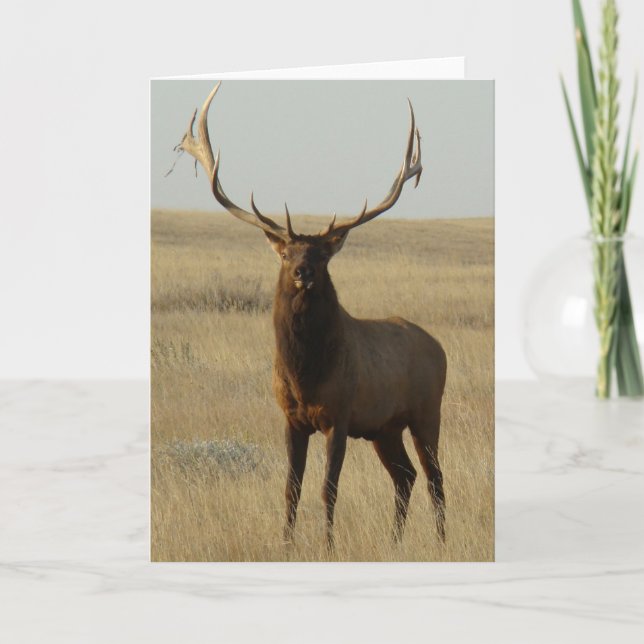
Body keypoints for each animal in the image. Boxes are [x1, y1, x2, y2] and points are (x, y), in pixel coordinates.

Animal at [174, 82, 447, 551]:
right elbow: (292, 487)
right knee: (406, 476)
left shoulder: (340, 415)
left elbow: (327, 487)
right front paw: (285, 544)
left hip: (427, 411)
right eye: (286, 254)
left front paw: (328, 545)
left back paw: (443, 540)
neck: (305, 374)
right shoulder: (291, 418)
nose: (303, 272)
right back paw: (395, 540)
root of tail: (441, 348)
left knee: (435, 477)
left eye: (321, 254)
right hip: (385, 428)